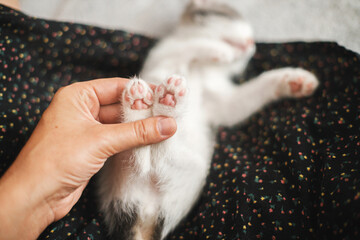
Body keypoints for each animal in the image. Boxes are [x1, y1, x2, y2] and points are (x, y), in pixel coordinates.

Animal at [97, 0, 320, 240]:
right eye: (229, 16)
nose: (251, 44)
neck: (205, 70)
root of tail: (142, 218)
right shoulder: (162, 56)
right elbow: (188, 46)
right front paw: (220, 50)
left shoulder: (221, 103)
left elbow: (246, 97)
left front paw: (294, 81)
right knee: (144, 157)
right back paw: (155, 105)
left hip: (189, 174)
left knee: (153, 155)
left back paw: (162, 106)